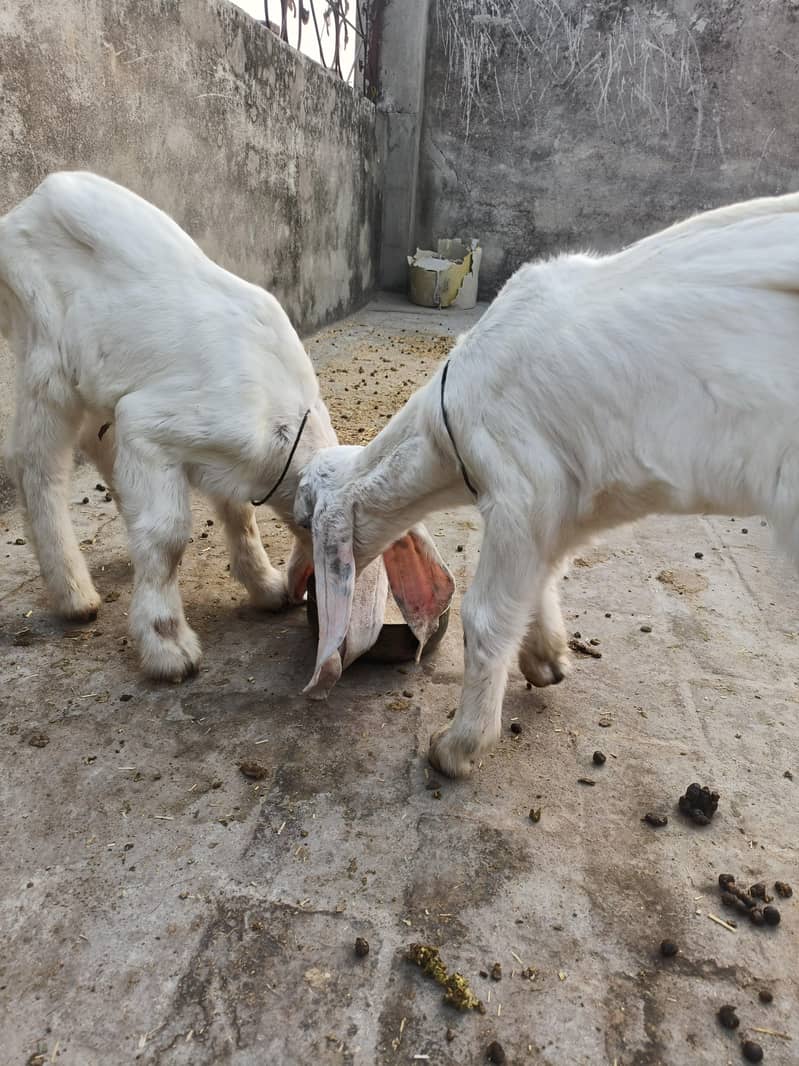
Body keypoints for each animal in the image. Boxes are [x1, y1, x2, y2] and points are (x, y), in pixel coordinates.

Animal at [0, 171, 451, 681]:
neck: (282, 429)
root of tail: (33, 200)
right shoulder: (151, 424)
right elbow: (168, 535)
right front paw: (168, 646)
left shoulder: (226, 459)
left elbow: (240, 515)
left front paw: (266, 587)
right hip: (43, 350)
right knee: (36, 463)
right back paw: (74, 594)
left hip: (98, 379)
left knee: (98, 446)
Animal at [296, 191, 799, 777]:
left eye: (305, 522)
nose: (303, 578)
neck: (447, 422)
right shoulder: (565, 505)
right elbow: (543, 576)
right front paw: (546, 659)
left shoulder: (522, 489)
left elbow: (485, 614)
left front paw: (457, 745)